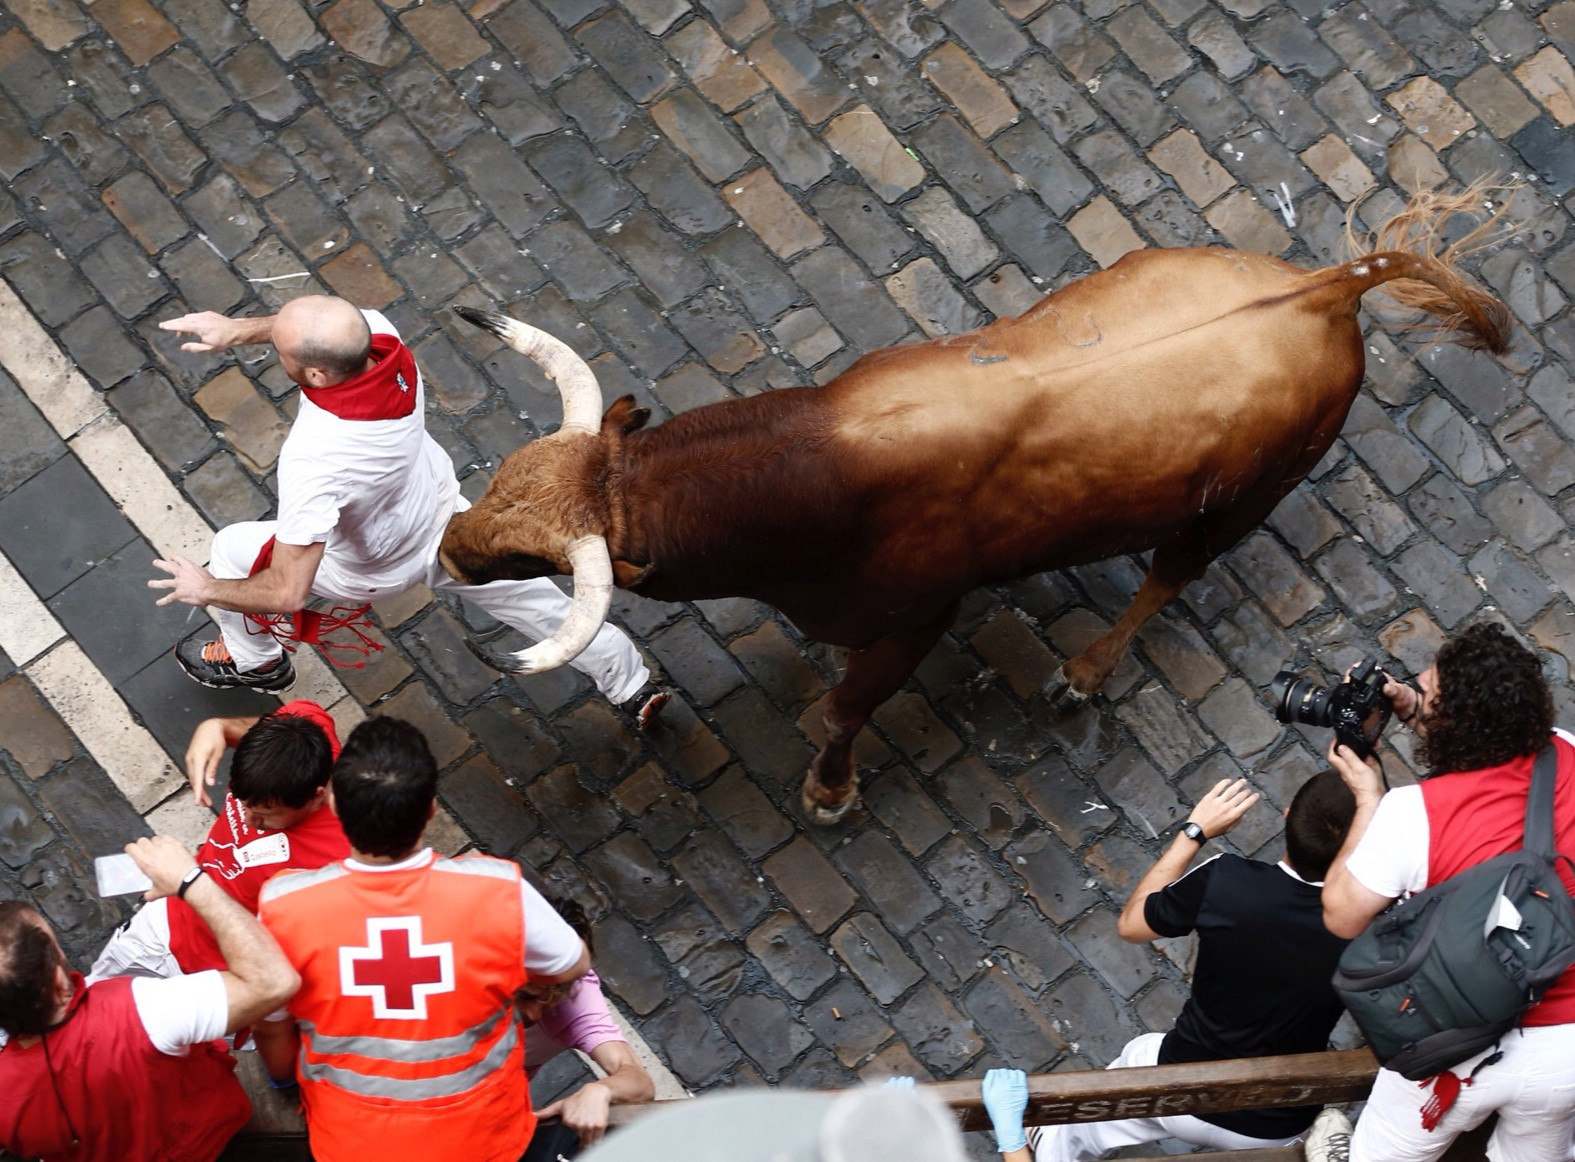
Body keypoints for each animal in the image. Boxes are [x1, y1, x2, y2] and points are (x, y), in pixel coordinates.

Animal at [441, 190, 1512, 818]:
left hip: (1245, 498)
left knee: (1168, 577)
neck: (813, 471)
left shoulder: (919, 617)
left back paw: (1084, 673)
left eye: (538, 563)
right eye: (498, 479)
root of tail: (1325, 286)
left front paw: (830, 791)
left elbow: (843, 710)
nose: (449, 546)